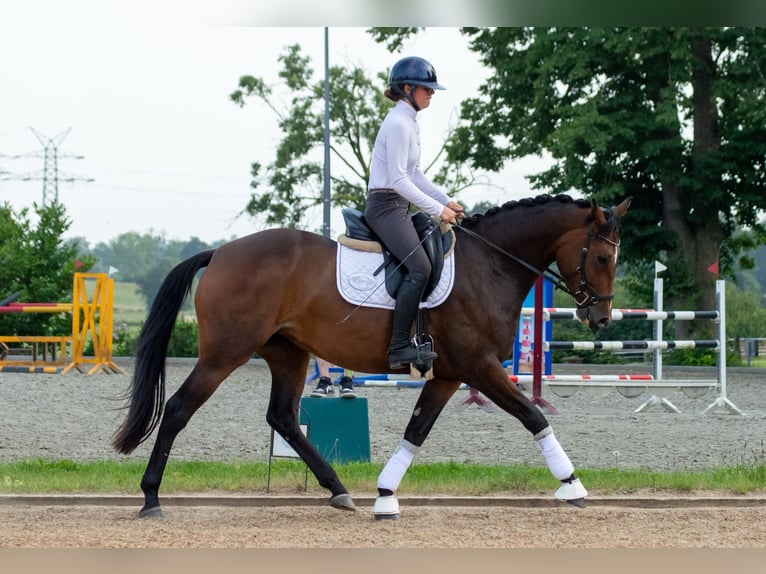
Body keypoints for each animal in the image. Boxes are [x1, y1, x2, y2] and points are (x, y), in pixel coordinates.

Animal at [112, 193, 632, 519]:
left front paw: (384, 495)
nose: (601, 317)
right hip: (224, 354)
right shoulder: (480, 367)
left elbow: (416, 431)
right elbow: (532, 416)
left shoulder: (448, 374)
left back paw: (339, 490)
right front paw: (572, 485)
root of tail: (220, 252)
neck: (491, 264)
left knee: (283, 418)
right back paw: (151, 497)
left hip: (288, 354)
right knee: (178, 409)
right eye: (602, 258)